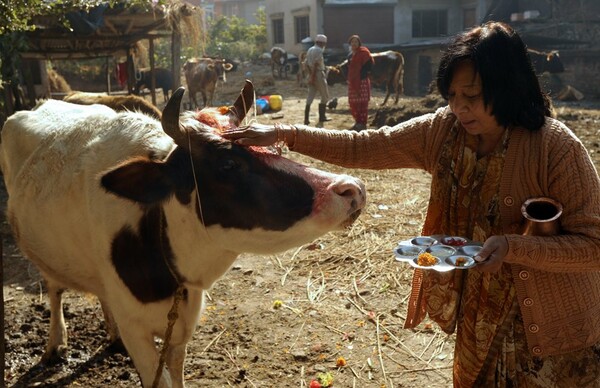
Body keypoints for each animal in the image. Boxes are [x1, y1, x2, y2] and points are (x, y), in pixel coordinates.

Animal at [0, 80, 368, 386]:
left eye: (277, 150)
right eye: (227, 165)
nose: (352, 188)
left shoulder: (182, 322)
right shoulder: (137, 332)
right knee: (54, 289)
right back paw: (55, 343)